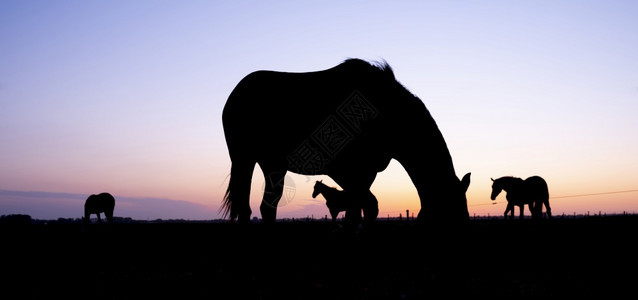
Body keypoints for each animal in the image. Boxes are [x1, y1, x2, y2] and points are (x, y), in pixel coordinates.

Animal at [222, 58, 472, 223]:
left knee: (267, 207)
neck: (384, 113)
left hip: (273, 164)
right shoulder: (350, 172)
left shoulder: (364, 174)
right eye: (452, 216)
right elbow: (356, 211)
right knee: (245, 208)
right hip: (244, 159)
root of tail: (235, 94)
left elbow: (368, 208)